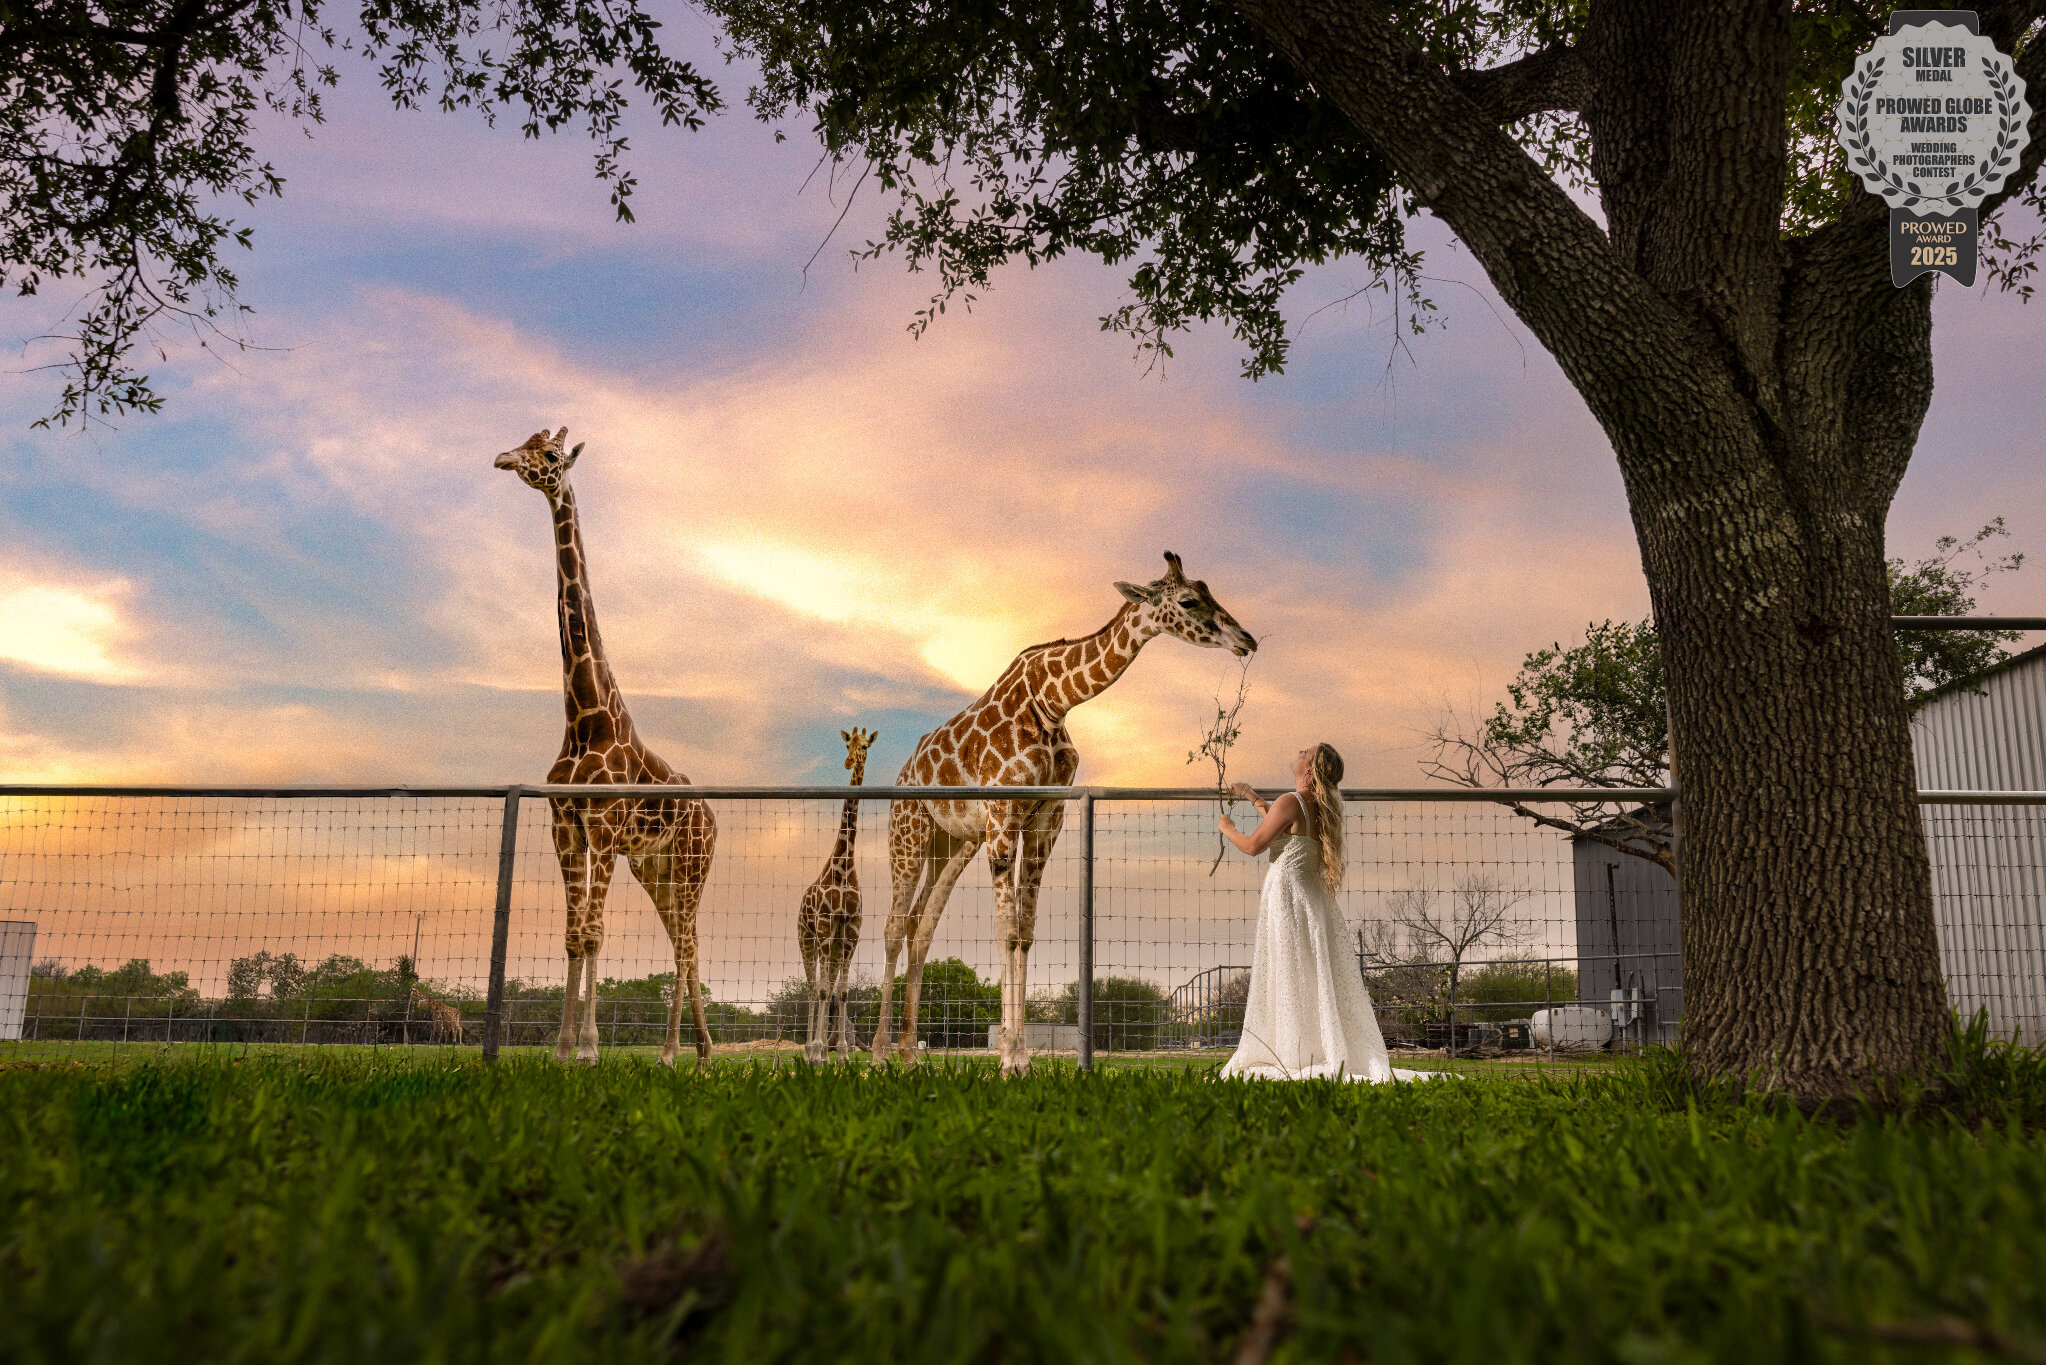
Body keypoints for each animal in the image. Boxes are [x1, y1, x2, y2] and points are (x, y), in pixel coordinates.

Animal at [494, 427, 719, 1067]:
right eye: (522, 440)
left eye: (549, 455)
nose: (503, 460)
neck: (584, 720)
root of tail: (713, 817)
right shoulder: (566, 827)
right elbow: (575, 937)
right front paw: (562, 1049)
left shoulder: (605, 829)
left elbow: (593, 934)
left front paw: (590, 1050)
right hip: (657, 870)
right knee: (684, 941)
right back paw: (700, 1051)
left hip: (692, 866)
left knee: (686, 945)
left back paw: (674, 1053)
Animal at [874, 552, 1256, 1076]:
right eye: (1187, 601)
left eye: (1208, 591)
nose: (1247, 640)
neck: (1052, 702)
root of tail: (905, 772)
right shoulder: (1003, 813)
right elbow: (1007, 929)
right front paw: (1010, 1059)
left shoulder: (1045, 816)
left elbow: (1026, 932)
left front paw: (1020, 1057)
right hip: (909, 830)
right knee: (894, 927)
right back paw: (875, 1053)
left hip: (952, 844)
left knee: (921, 928)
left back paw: (911, 1054)